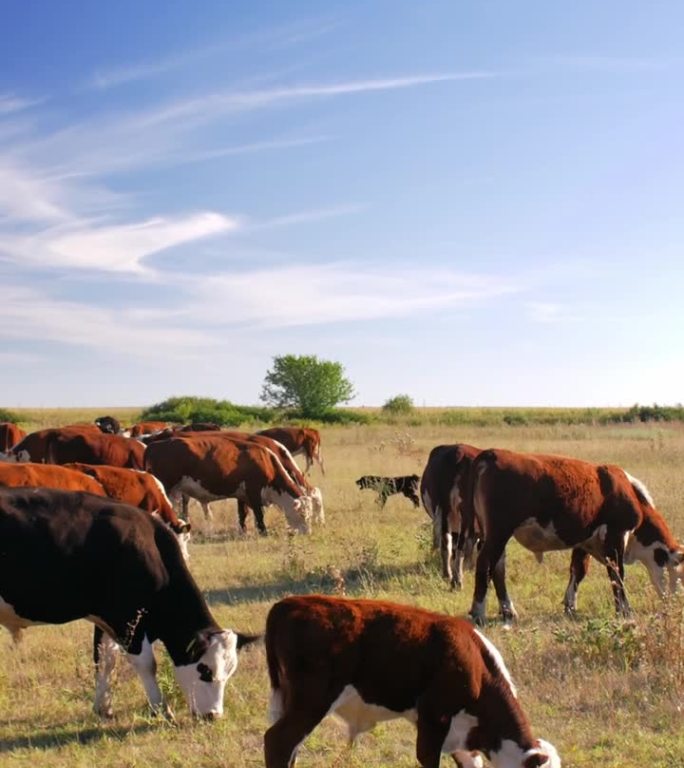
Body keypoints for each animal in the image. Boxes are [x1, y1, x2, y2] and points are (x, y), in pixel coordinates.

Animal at [0, 488, 258, 724]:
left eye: (229, 673)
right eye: (206, 671)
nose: (214, 715)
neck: (149, 546)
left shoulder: (106, 619)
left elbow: (105, 660)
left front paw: (104, 707)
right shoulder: (125, 618)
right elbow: (146, 664)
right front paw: (161, 709)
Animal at [146, 436, 316, 536]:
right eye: (303, 514)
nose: (308, 532)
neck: (266, 462)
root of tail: (154, 446)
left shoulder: (242, 494)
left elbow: (243, 514)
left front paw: (244, 531)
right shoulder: (253, 490)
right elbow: (259, 514)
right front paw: (263, 532)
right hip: (166, 488)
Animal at [420, 444, 484, 588]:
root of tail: (459, 453)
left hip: (445, 510)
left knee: (446, 544)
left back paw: (447, 574)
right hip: (465, 513)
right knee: (461, 546)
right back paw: (457, 580)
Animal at [464, 450, 684, 624]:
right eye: (680, 575)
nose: (675, 607)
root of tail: (493, 454)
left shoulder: (584, 541)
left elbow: (578, 572)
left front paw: (570, 606)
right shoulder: (615, 535)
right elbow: (617, 574)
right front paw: (625, 610)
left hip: (494, 535)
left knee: (498, 569)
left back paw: (508, 612)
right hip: (498, 533)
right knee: (485, 564)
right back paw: (479, 613)